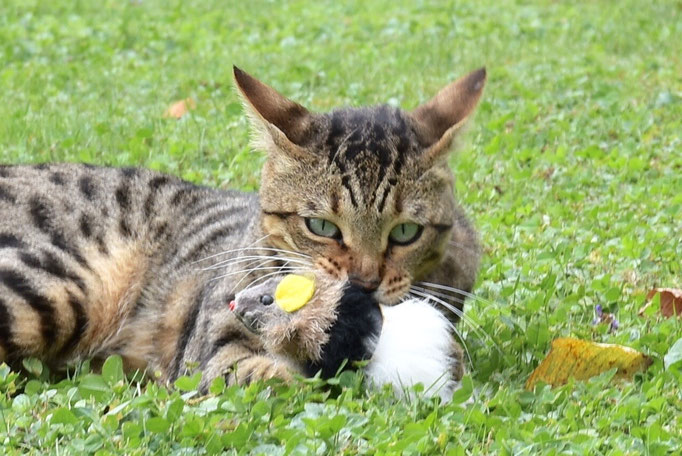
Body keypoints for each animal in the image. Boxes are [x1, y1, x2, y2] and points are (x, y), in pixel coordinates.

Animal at [0, 66, 484, 390]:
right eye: (321, 226)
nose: (364, 282)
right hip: (56, 288)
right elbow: (253, 372)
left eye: (405, 233)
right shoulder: (212, 345)